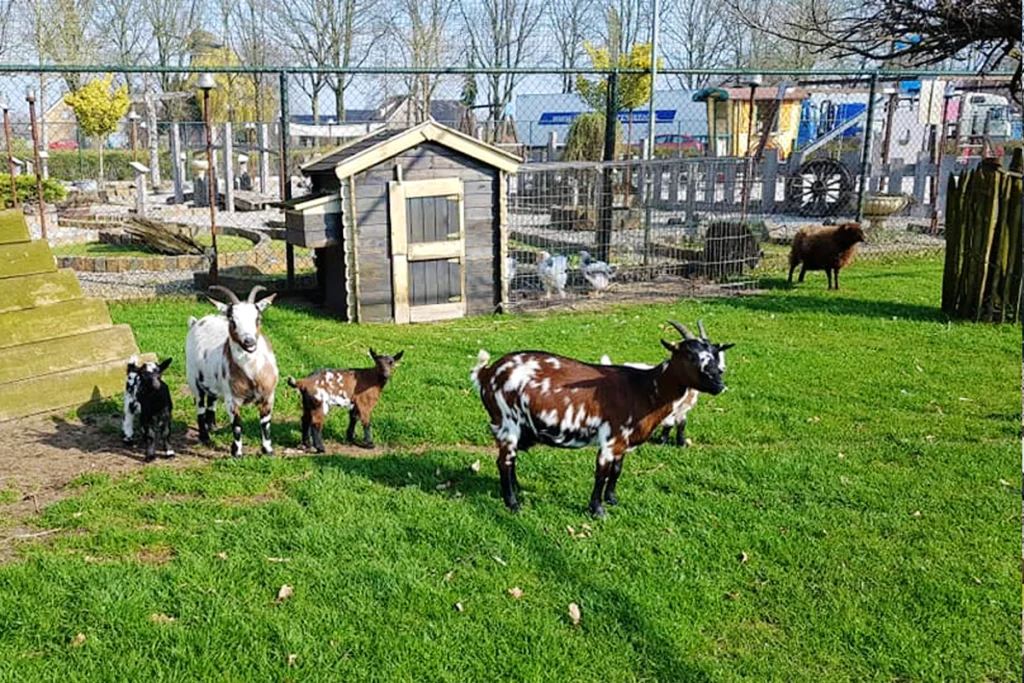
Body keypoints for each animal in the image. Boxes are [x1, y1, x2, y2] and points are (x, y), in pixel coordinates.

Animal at [185, 286, 278, 456]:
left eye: (258, 318)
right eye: (232, 320)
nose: (249, 342)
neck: (252, 373)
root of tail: (195, 322)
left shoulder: (268, 396)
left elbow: (265, 423)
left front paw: (268, 450)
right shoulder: (232, 399)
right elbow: (237, 424)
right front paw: (237, 453)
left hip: (212, 380)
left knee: (211, 399)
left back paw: (212, 427)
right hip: (194, 379)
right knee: (200, 405)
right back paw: (205, 437)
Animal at [475, 323, 733, 516]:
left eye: (715, 355)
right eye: (689, 355)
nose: (719, 383)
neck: (644, 388)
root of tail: (486, 373)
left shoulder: (623, 442)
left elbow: (616, 471)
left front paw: (612, 500)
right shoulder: (610, 439)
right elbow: (601, 474)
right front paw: (597, 510)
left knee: (511, 460)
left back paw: (517, 491)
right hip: (507, 422)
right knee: (504, 461)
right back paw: (513, 504)